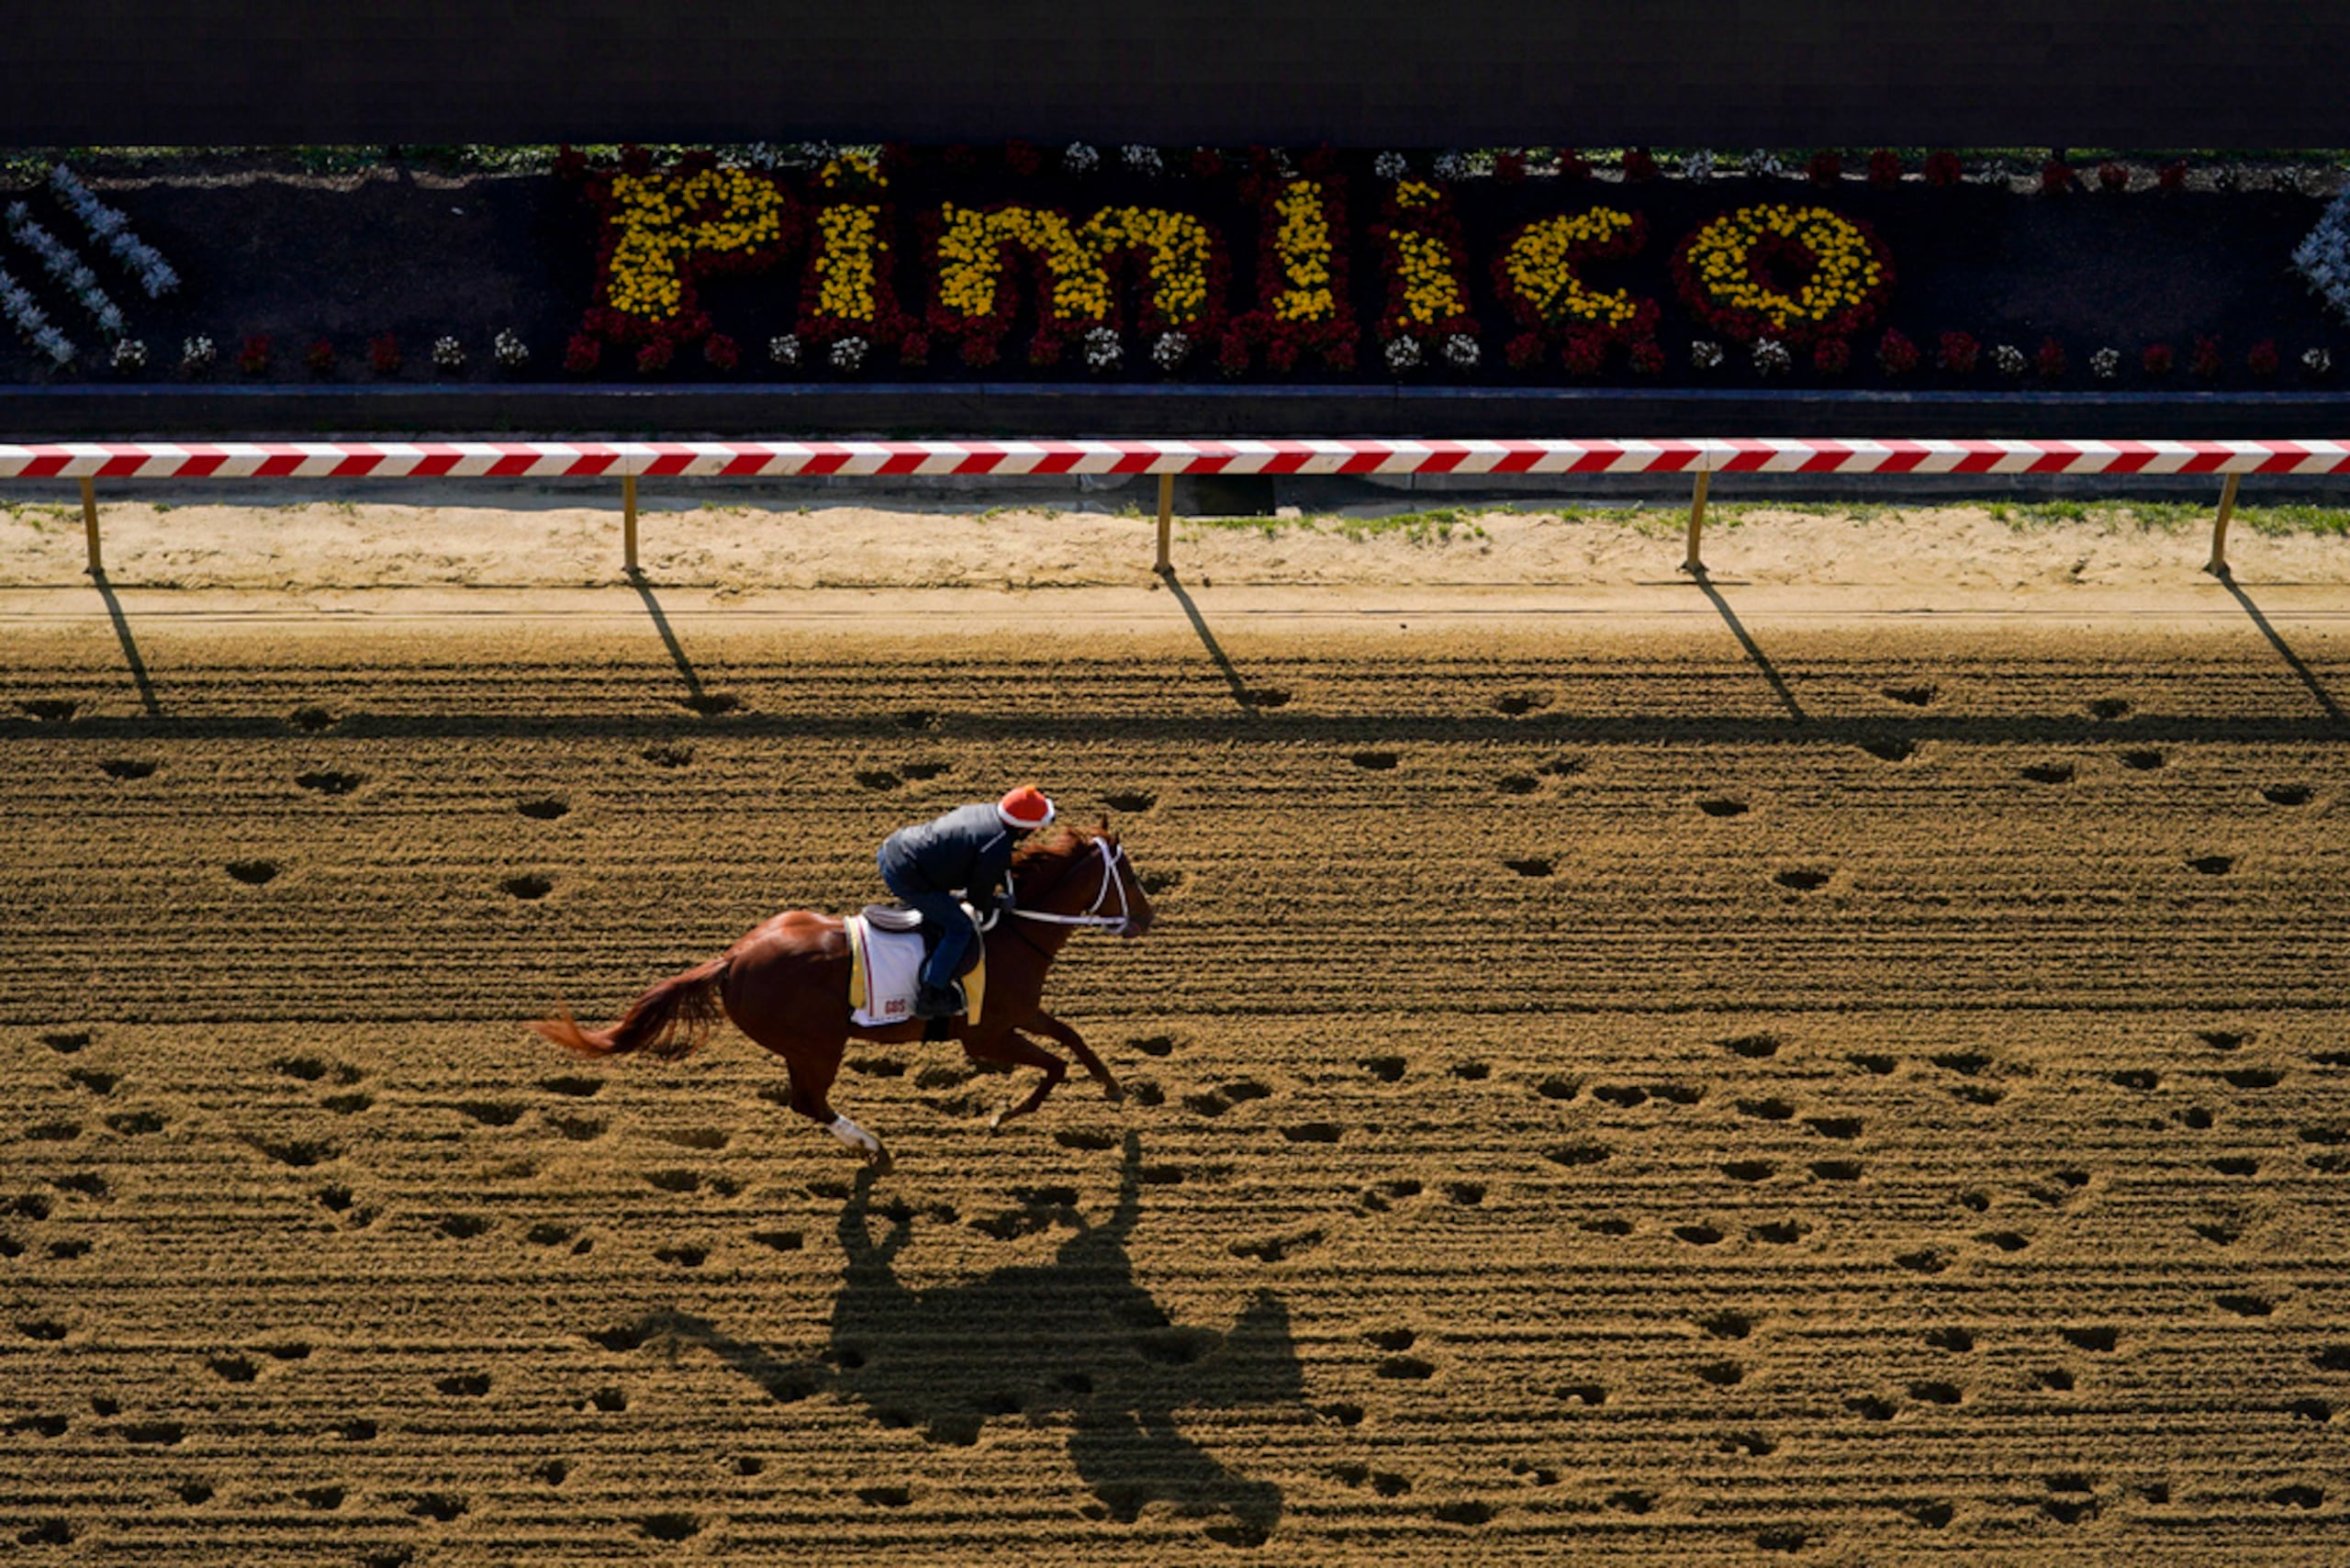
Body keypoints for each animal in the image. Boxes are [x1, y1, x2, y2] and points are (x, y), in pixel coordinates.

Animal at [531, 823, 1156, 1166]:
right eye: (1128, 876)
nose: (1148, 918)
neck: (1009, 930)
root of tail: (733, 959)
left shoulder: (1020, 1012)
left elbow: (1071, 1038)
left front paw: (1112, 1086)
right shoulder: (986, 1036)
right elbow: (1053, 1067)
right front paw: (1005, 1113)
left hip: (802, 1046)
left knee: (803, 1100)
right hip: (819, 1045)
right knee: (810, 1102)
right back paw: (872, 1146)